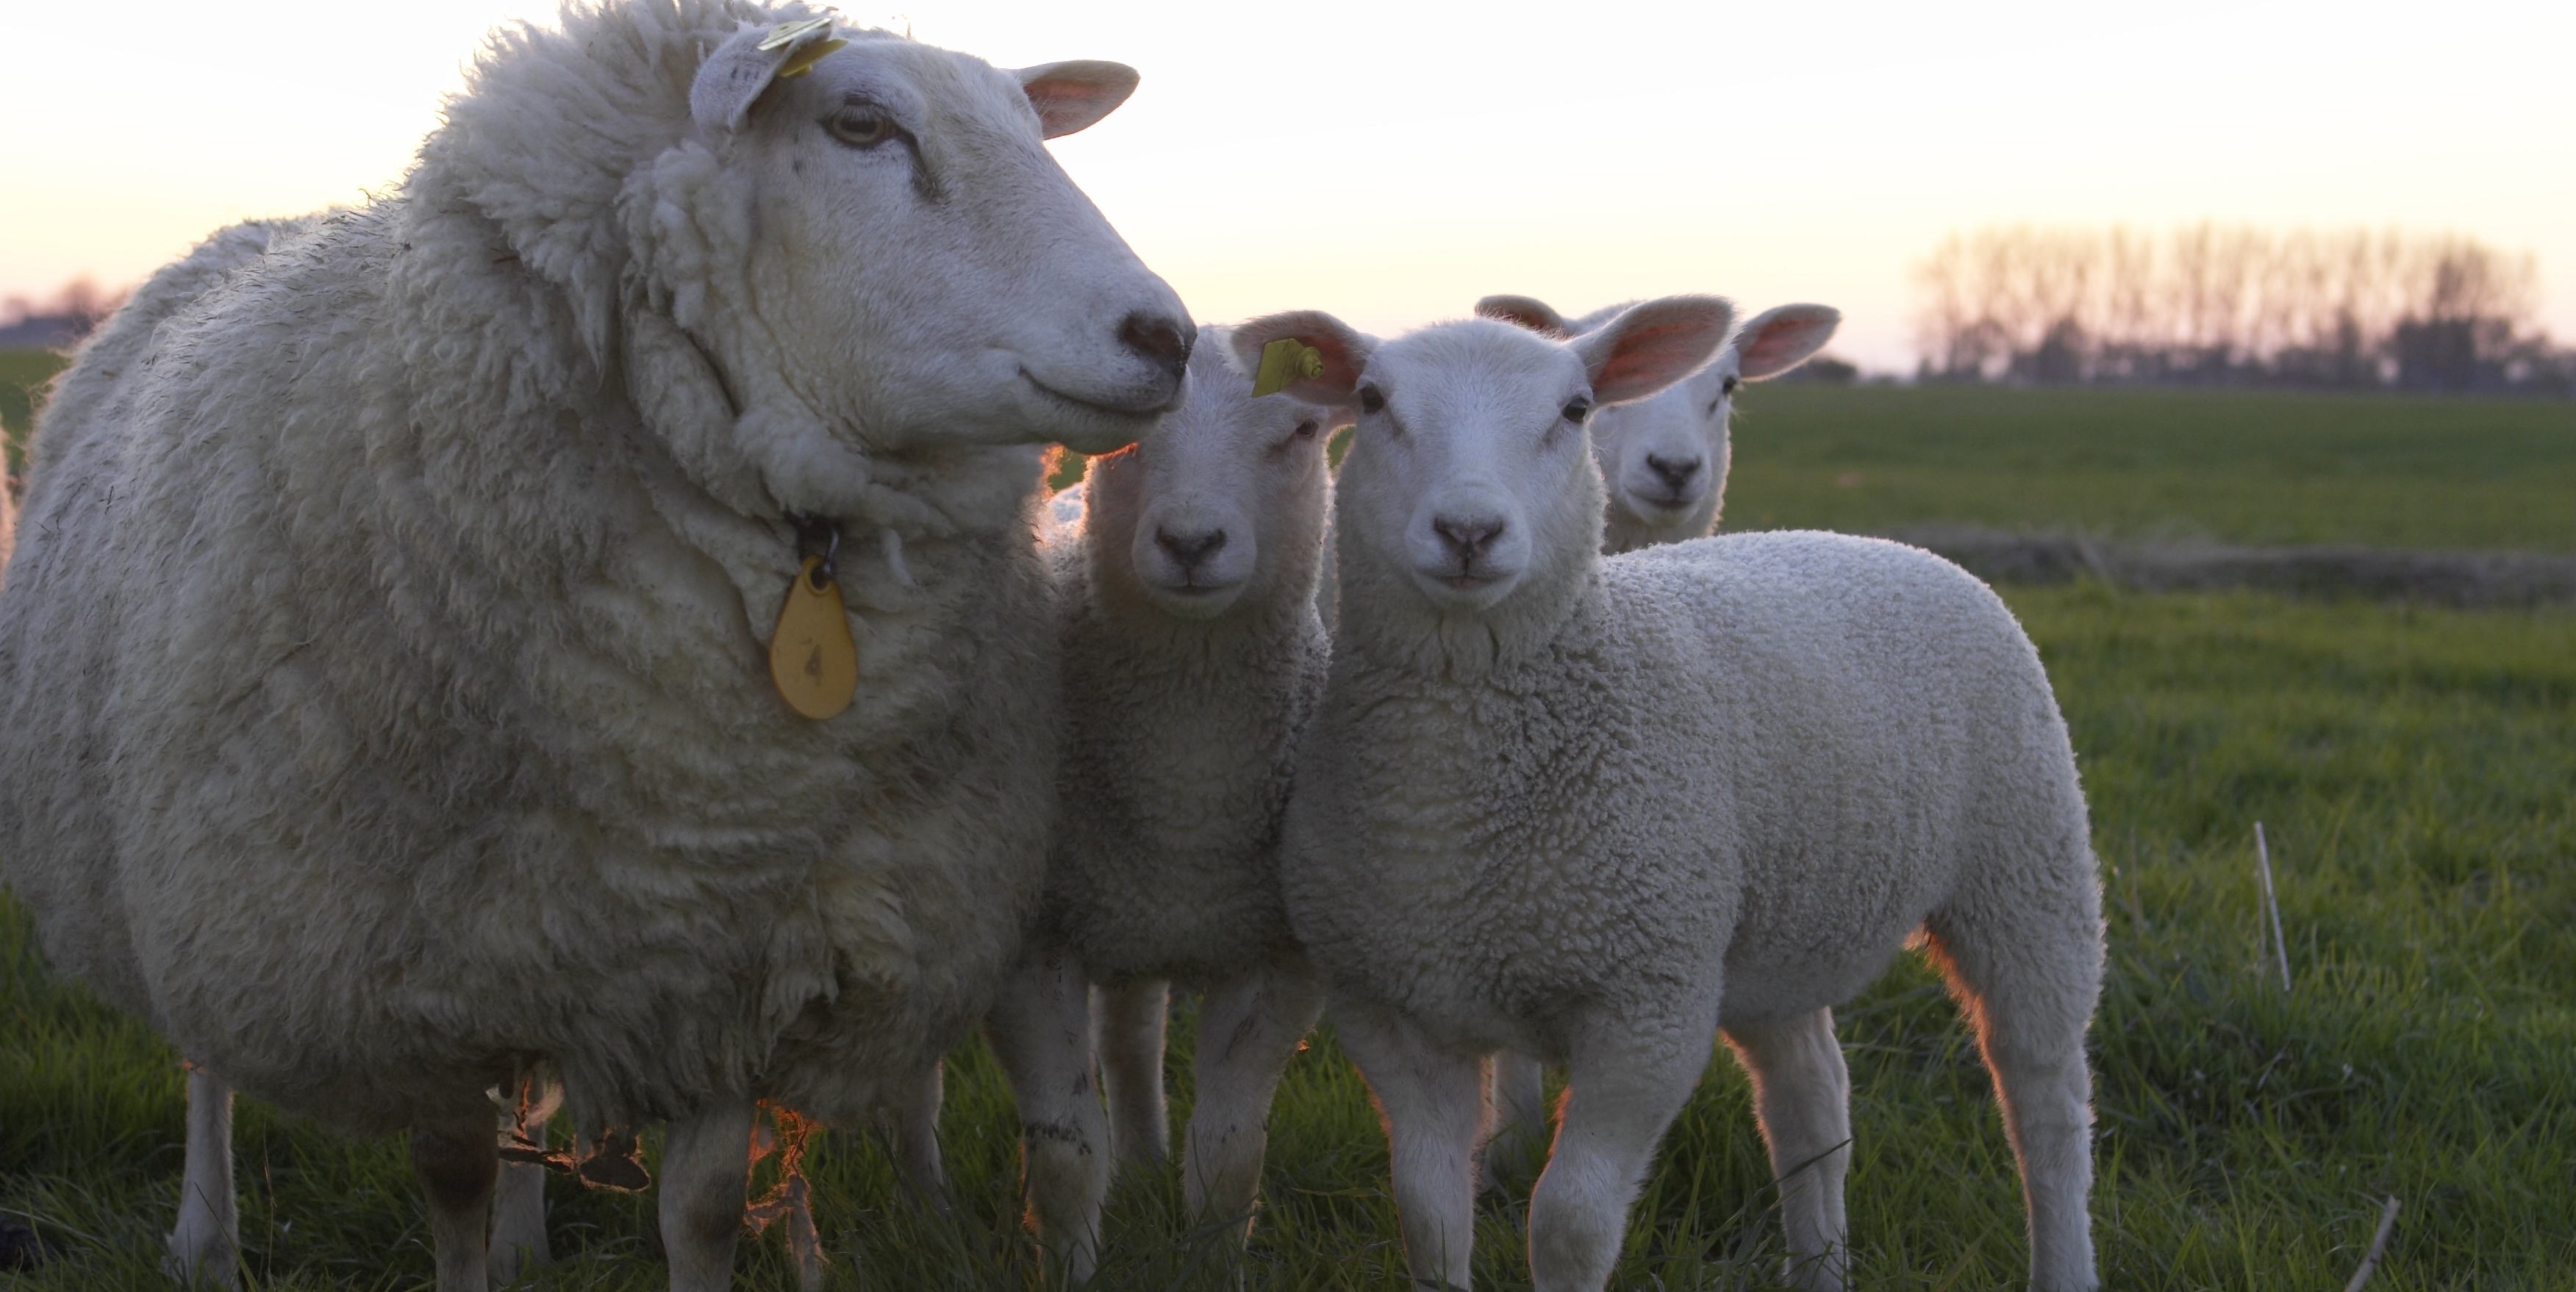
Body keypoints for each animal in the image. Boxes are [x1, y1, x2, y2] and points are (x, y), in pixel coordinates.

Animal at [0, 4, 1189, 1286]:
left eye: (1030, 124)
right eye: (862, 123)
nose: (1167, 336)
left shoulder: (728, 958)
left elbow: (703, 1206)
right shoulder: (410, 973)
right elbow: (453, 1174)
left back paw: (526, 1236)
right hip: (190, 870)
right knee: (207, 1061)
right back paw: (206, 1233)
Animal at [1231, 297, 2112, 1286]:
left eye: (1576, 410)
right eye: (1375, 402)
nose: (1469, 532)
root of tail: (1888, 545)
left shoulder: (1646, 1007)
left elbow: (1570, 1224)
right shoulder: (1388, 1004)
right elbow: (1427, 1213)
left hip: (2028, 866)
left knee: (2044, 1096)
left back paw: (2063, 1254)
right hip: (1775, 931)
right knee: (1813, 1099)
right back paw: (1820, 1265)